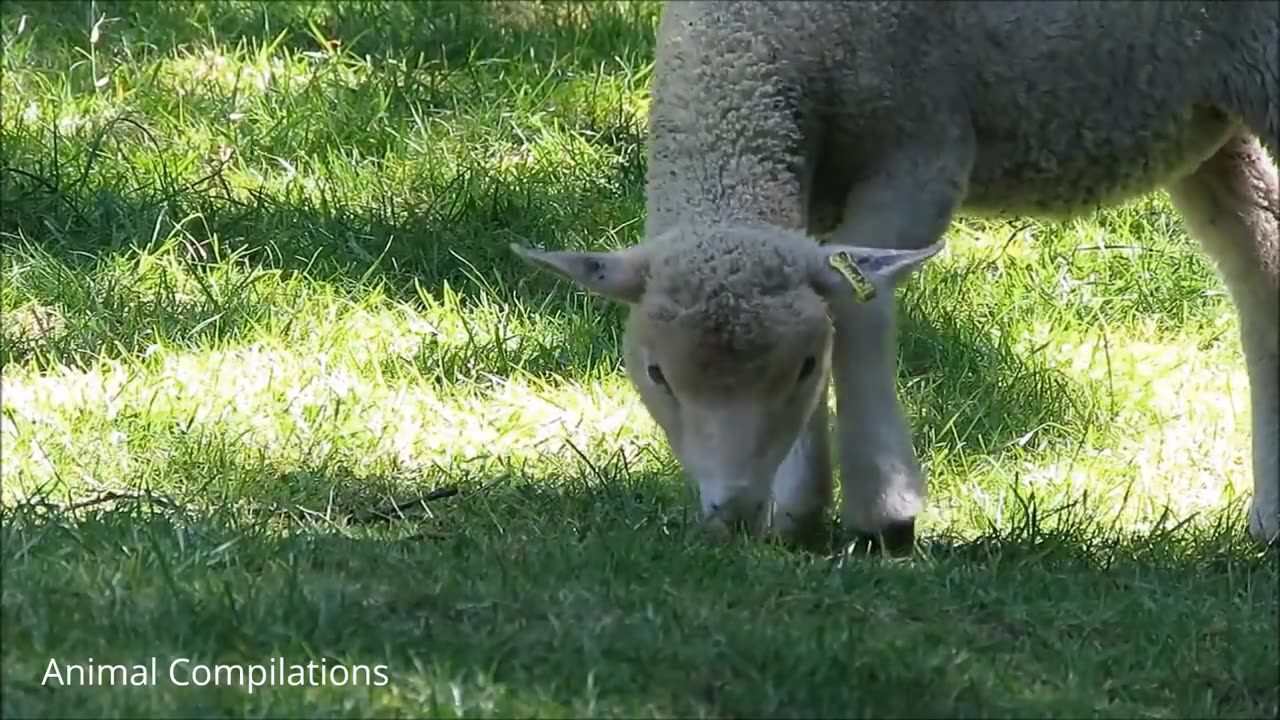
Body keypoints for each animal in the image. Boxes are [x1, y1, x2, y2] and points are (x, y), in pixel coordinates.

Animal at [512, 0, 1280, 548]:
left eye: (803, 368)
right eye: (656, 374)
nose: (732, 511)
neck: (753, 48)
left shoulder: (921, 154)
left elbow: (859, 307)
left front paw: (879, 508)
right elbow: (830, 295)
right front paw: (798, 505)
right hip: (1206, 117)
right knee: (1262, 269)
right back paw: (1271, 517)